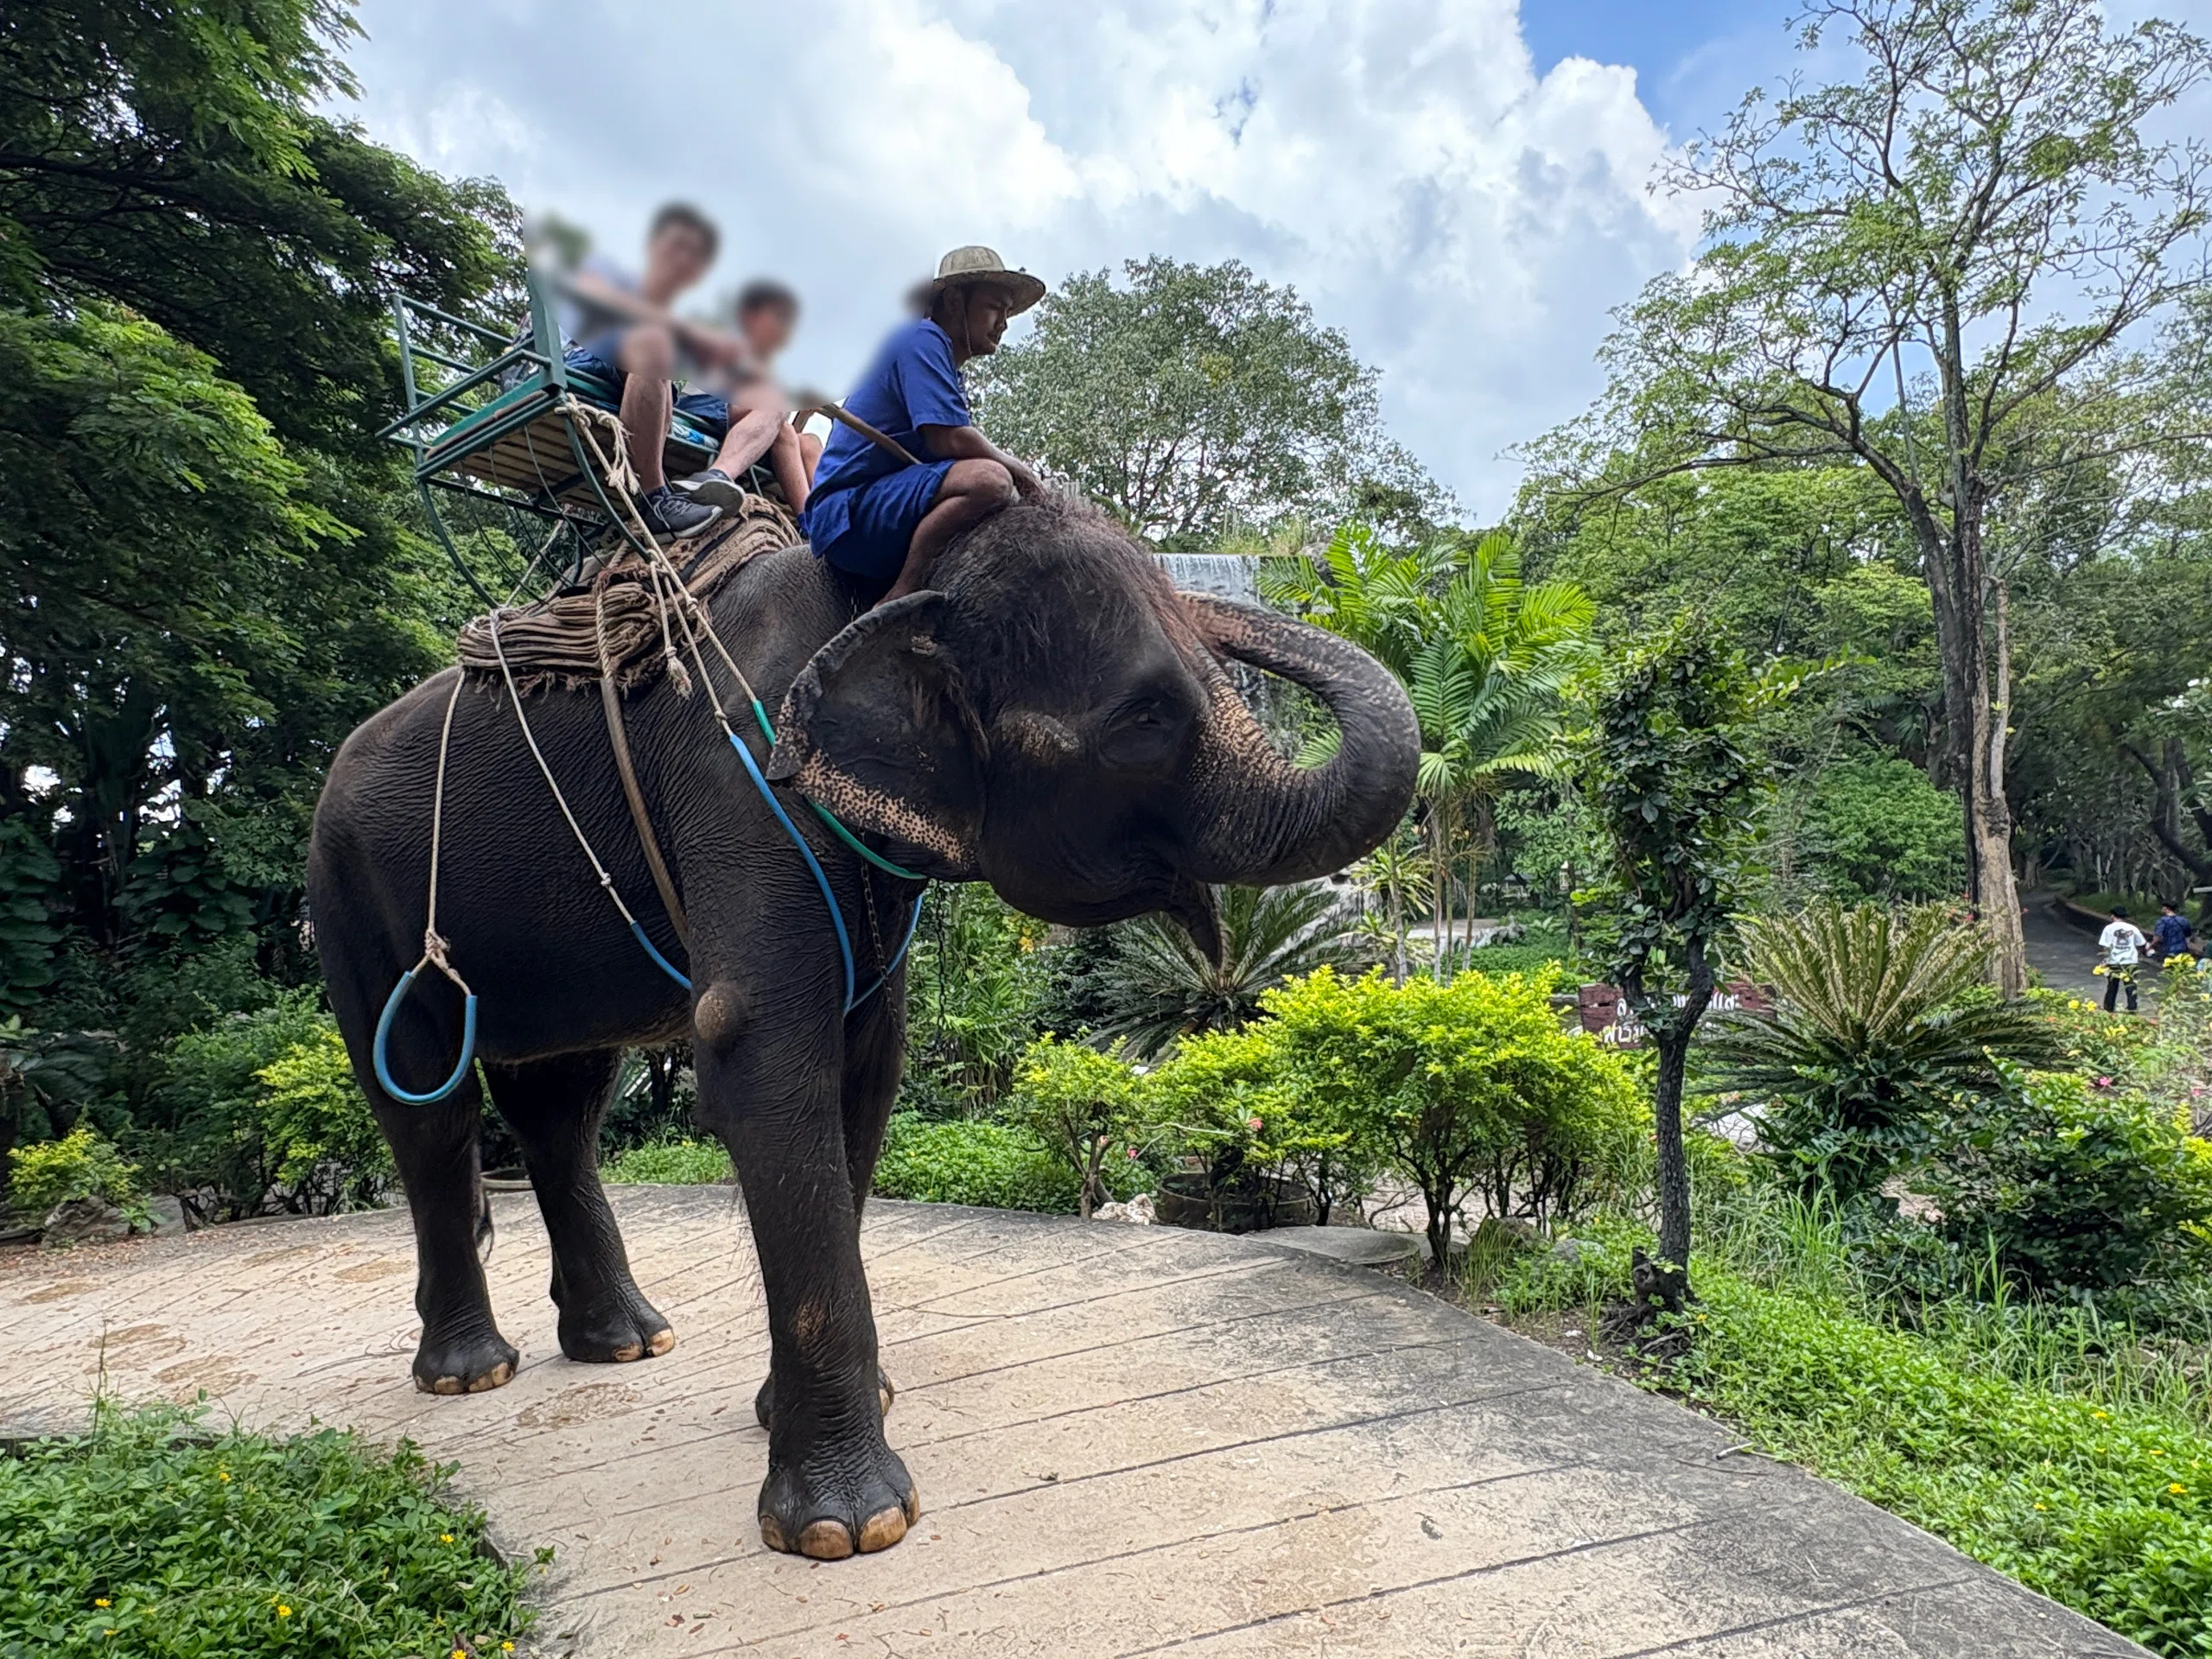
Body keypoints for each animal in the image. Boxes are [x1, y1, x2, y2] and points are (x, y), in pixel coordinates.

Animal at [306, 493, 1419, 1561]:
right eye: (1143, 722)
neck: (884, 586)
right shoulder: (740, 783)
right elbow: (757, 1060)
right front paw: (848, 1528)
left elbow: (866, 1073)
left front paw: (814, 1421)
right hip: (349, 890)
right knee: (428, 1103)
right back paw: (470, 1377)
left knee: (561, 1103)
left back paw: (624, 1345)